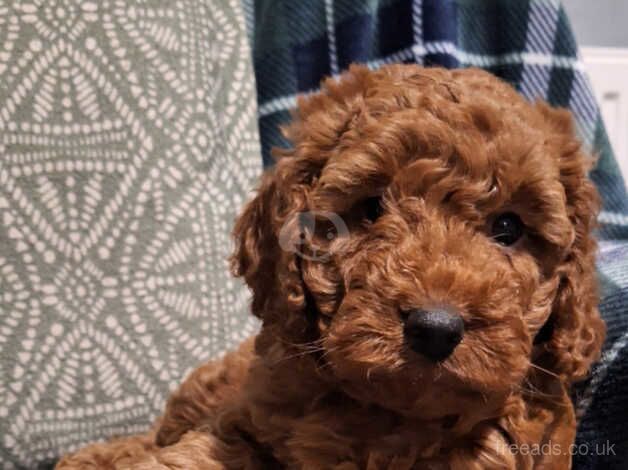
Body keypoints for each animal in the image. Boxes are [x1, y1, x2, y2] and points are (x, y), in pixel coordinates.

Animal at [57, 65, 604, 470]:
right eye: (370, 209)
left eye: (508, 227)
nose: (435, 328)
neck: (389, 418)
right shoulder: (242, 424)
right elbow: (194, 453)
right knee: (158, 432)